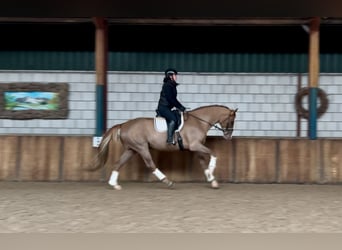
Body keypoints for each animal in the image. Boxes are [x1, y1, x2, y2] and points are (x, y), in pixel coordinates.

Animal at [89, 105, 238, 189]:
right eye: (231, 120)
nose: (228, 136)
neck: (199, 122)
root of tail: (123, 125)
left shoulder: (196, 147)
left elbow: (203, 163)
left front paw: (211, 180)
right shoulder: (195, 145)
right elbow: (213, 154)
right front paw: (212, 172)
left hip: (131, 149)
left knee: (118, 163)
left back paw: (114, 184)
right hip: (142, 148)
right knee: (150, 165)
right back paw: (167, 182)